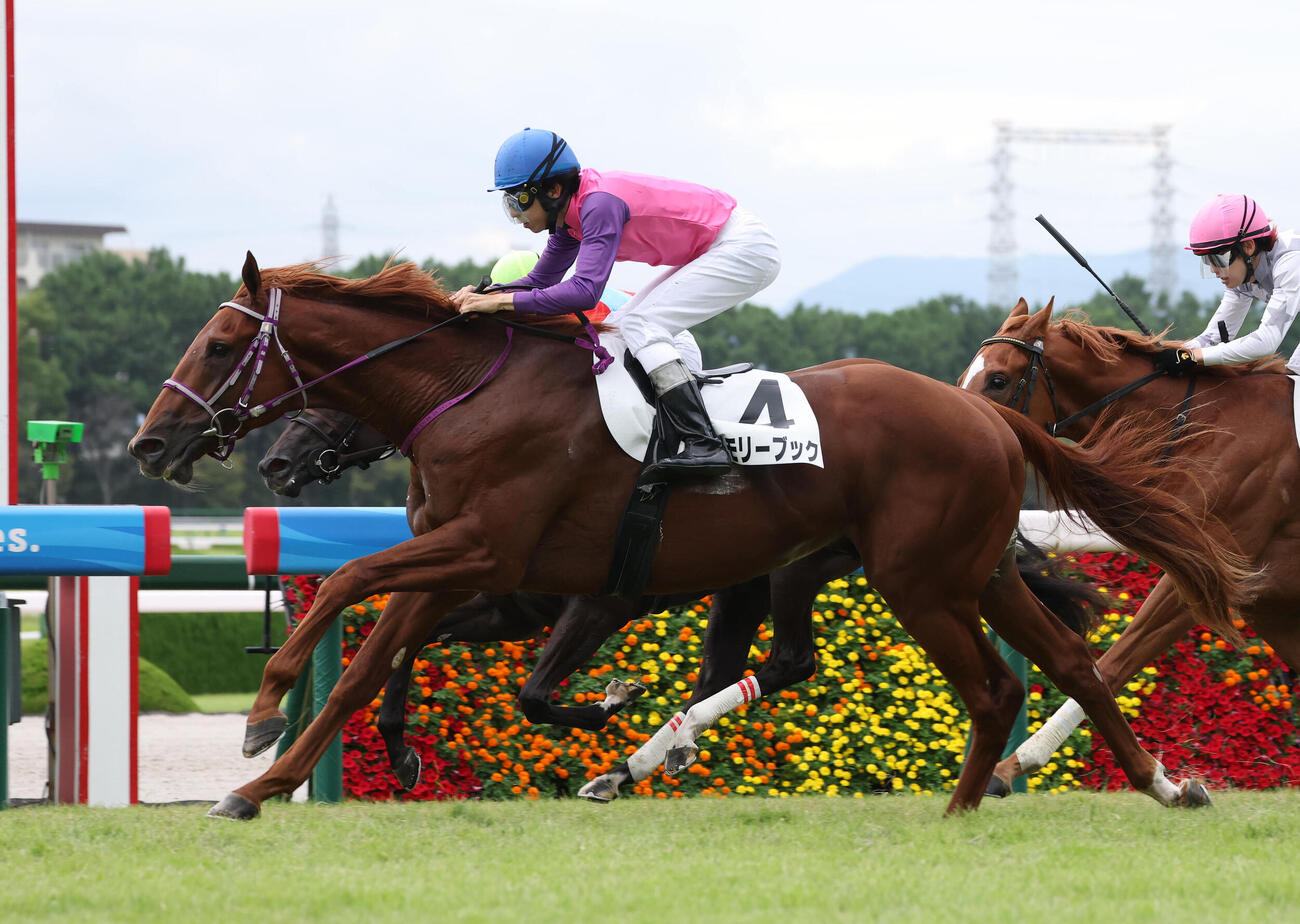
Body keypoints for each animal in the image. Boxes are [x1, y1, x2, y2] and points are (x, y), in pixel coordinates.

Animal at [260, 408, 1099, 797]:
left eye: (336, 400)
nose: (275, 461)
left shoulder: (595, 603)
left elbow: (533, 693)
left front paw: (612, 700)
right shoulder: (512, 606)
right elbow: (413, 645)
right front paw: (400, 748)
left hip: (794, 572)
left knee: (787, 660)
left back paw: (651, 749)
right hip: (747, 589)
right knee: (742, 669)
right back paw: (655, 754)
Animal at [960, 297, 1294, 794]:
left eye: (998, 379)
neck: (1206, 427)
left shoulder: (1203, 572)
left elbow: (1112, 664)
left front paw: (1009, 766)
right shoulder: (1264, 597)